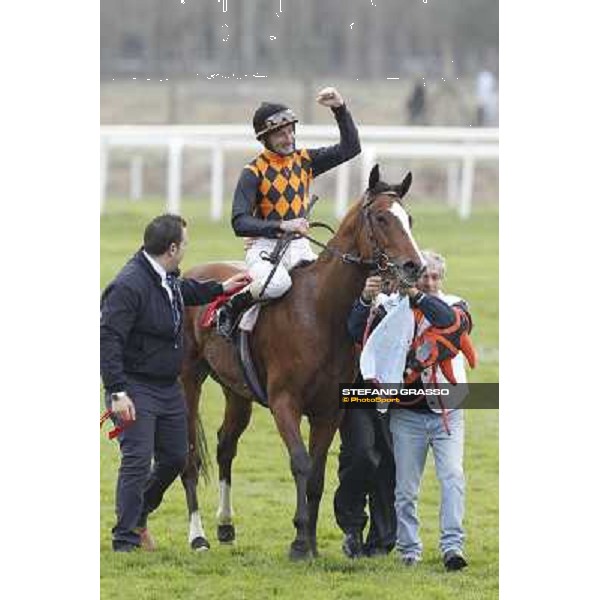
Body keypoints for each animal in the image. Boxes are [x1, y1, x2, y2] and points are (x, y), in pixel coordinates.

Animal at [180, 164, 424, 556]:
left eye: (410, 219)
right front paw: (298, 540)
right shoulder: (285, 402)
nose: (413, 266)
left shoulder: (329, 411)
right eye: (382, 218)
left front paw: (309, 542)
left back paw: (226, 524)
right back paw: (197, 535)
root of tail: (189, 274)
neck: (321, 312)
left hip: (236, 391)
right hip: (188, 380)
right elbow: (300, 463)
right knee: (190, 456)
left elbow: (318, 475)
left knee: (225, 445)